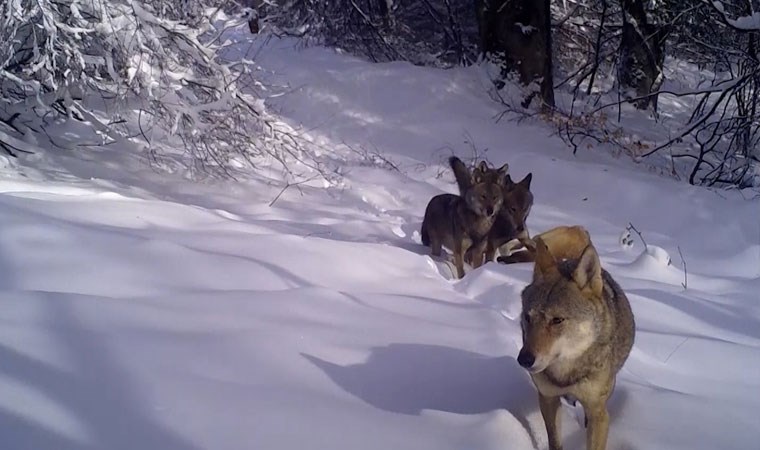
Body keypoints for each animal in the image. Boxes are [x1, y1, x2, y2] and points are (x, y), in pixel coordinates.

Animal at [516, 225, 636, 450]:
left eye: (557, 320)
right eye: (528, 317)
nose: (524, 360)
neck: (566, 374)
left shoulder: (599, 413)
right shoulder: (548, 399)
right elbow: (555, 442)